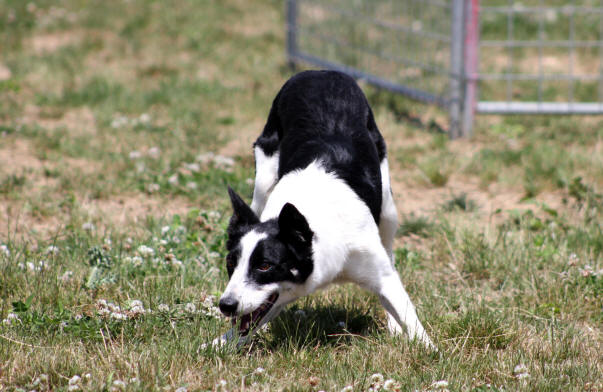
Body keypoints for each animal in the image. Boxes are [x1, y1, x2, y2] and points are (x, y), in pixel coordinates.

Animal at [217, 70, 434, 350]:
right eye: (231, 262)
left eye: (265, 266)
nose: (225, 305)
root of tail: (320, 72)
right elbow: (253, 319)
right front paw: (220, 344)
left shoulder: (379, 271)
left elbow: (406, 310)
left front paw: (429, 350)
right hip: (262, 180)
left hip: (387, 207)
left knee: (390, 252)